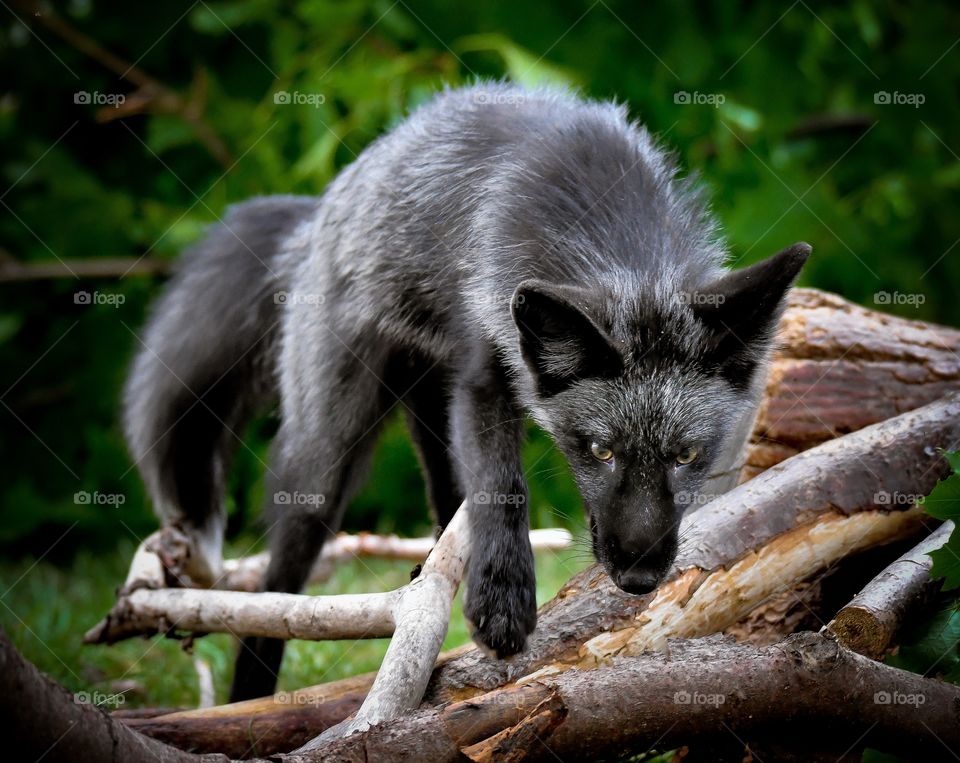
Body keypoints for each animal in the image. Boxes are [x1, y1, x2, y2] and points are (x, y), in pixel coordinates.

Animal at [123, 83, 810, 701]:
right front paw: (503, 601)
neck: (616, 237)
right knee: (276, 590)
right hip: (325, 461)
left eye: (686, 455)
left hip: (431, 408)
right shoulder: (485, 373)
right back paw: (246, 704)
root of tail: (323, 207)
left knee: (444, 502)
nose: (640, 579)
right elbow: (504, 488)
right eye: (600, 451)